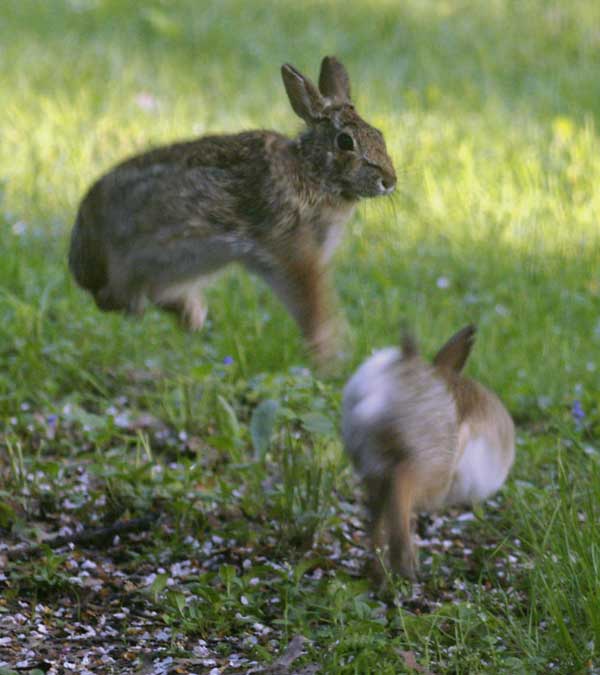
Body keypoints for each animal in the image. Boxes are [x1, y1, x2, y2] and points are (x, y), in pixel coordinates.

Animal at [68, 56, 396, 364]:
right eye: (345, 142)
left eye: (379, 134)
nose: (390, 181)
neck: (312, 171)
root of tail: (81, 251)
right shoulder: (295, 252)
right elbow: (314, 306)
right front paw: (330, 357)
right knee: (111, 297)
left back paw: (191, 315)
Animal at [341, 325, 515, 580]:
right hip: (430, 466)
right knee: (402, 487)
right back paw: (406, 564)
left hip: (373, 467)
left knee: (377, 516)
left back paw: (379, 572)